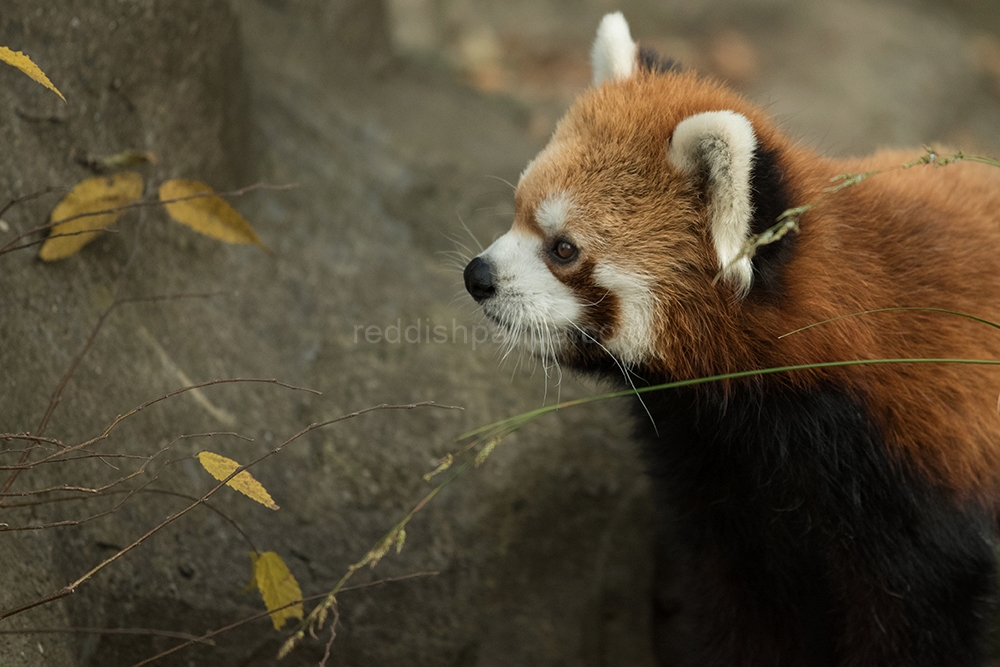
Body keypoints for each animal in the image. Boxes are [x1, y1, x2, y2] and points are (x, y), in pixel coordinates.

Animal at [464, 11, 1000, 667]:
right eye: (516, 211)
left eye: (563, 249)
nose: (477, 277)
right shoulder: (718, 476)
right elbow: (745, 606)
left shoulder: (917, 480)